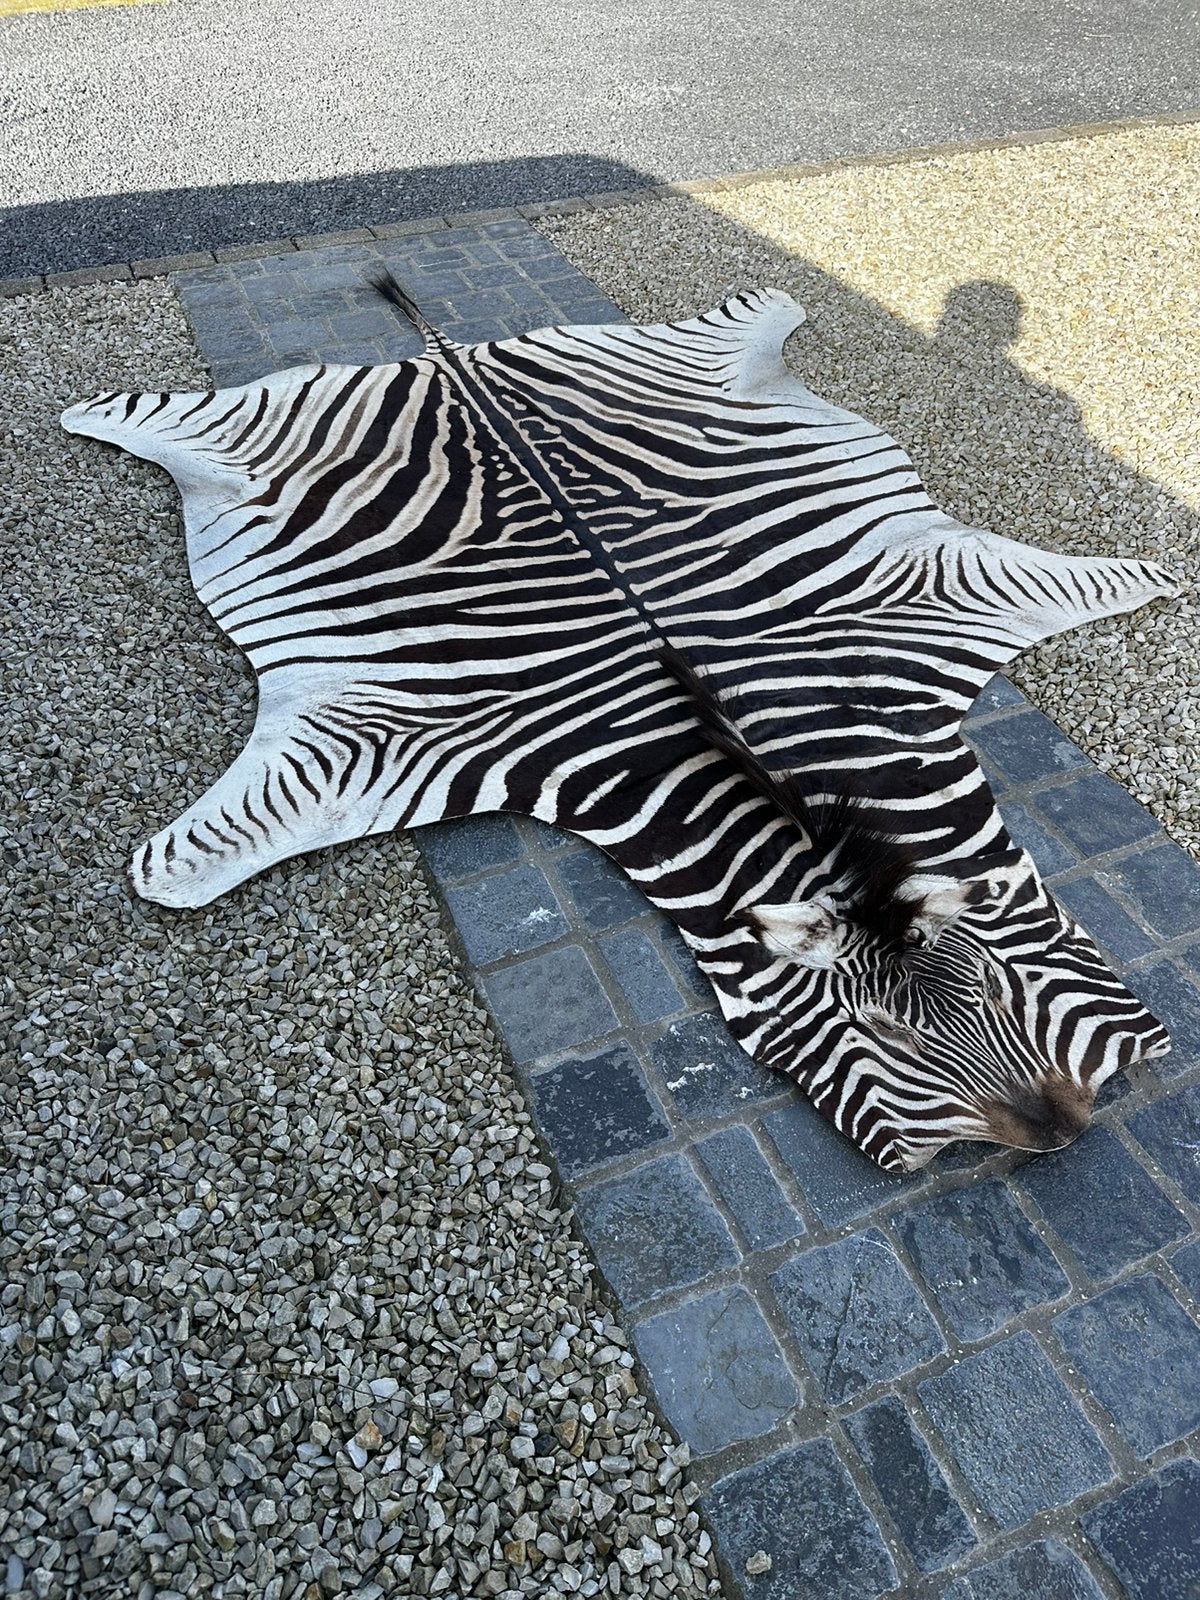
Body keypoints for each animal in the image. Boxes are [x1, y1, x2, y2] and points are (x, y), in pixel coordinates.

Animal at [61, 276, 1175, 1171]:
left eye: (995, 988)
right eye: (883, 1041)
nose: (1067, 1131)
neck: (766, 755)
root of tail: (452, 358)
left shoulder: (926, 601)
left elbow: (1102, 581)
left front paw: (1154, 576)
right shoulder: (387, 739)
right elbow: (189, 864)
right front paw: (161, 868)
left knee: (743, 320)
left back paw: (770, 307)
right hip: (251, 428)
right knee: (157, 413)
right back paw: (90, 411)